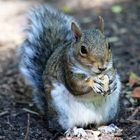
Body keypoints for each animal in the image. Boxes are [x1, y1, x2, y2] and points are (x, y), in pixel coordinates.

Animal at [18, 4, 121, 136]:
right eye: (83, 49)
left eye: (109, 45)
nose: (102, 67)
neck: (91, 72)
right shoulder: (66, 69)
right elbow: (76, 85)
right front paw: (93, 82)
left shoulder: (110, 67)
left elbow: (113, 73)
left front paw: (113, 82)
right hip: (61, 113)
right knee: (61, 127)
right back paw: (74, 130)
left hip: (109, 111)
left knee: (98, 124)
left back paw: (106, 127)